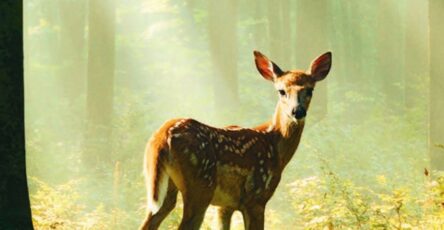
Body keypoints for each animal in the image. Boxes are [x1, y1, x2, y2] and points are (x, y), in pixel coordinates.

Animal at [140, 49, 332, 229]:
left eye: (310, 90)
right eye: (282, 91)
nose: (297, 111)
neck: (274, 143)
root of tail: (162, 136)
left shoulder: (225, 206)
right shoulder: (256, 197)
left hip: (161, 187)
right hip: (200, 187)